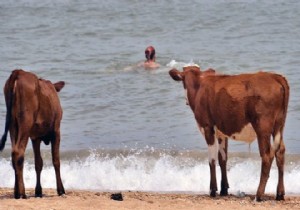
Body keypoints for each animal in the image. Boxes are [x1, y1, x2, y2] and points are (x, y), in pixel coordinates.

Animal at [0, 69, 65, 199]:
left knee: (14, 154)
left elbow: (38, 163)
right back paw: (22, 193)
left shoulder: (35, 137)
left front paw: (38, 191)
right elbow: (56, 160)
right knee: (18, 152)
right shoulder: (56, 131)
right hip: (26, 121)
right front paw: (61, 190)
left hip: (13, 125)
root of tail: (18, 72)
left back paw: (17, 192)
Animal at [169, 66, 288, 202]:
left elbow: (212, 160)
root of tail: (274, 76)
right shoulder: (222, 133)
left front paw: (212, 190)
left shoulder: (208, 127)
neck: (199, 86)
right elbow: (223, 159)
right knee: (280, 152)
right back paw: (280, 194)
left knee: (267, 156)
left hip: (263, 128)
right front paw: (224, 189)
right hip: (279, 125)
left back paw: (258, 195)